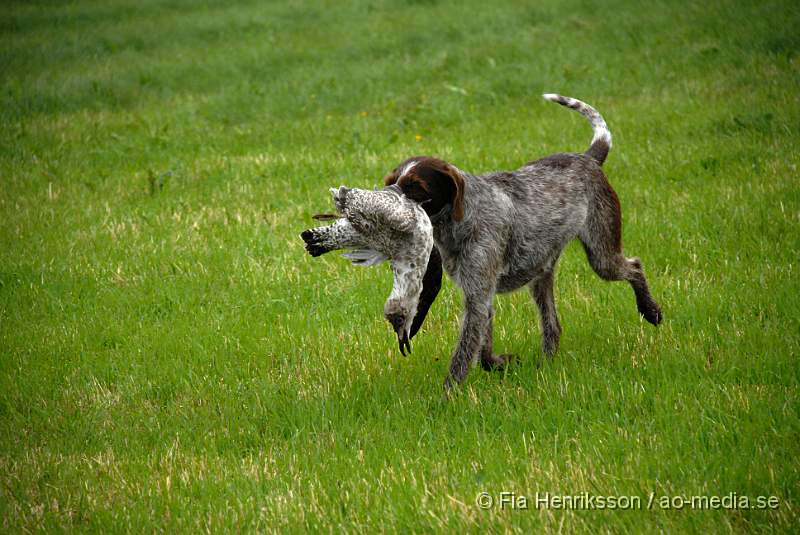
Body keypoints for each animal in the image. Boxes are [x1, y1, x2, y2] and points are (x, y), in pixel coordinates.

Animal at [382, 94, 664, 392]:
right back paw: (546, 365)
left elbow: (463, 356)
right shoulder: (480, 293)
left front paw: (448, 395)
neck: (461, 221)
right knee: (553, 326)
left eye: (416, 186)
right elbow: (483, 352)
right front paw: (501, 363)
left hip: (602, 255)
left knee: (634, 267)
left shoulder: (478, 296)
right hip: (542, 273)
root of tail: (588, 158)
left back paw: (650, 310)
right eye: (390, 181)